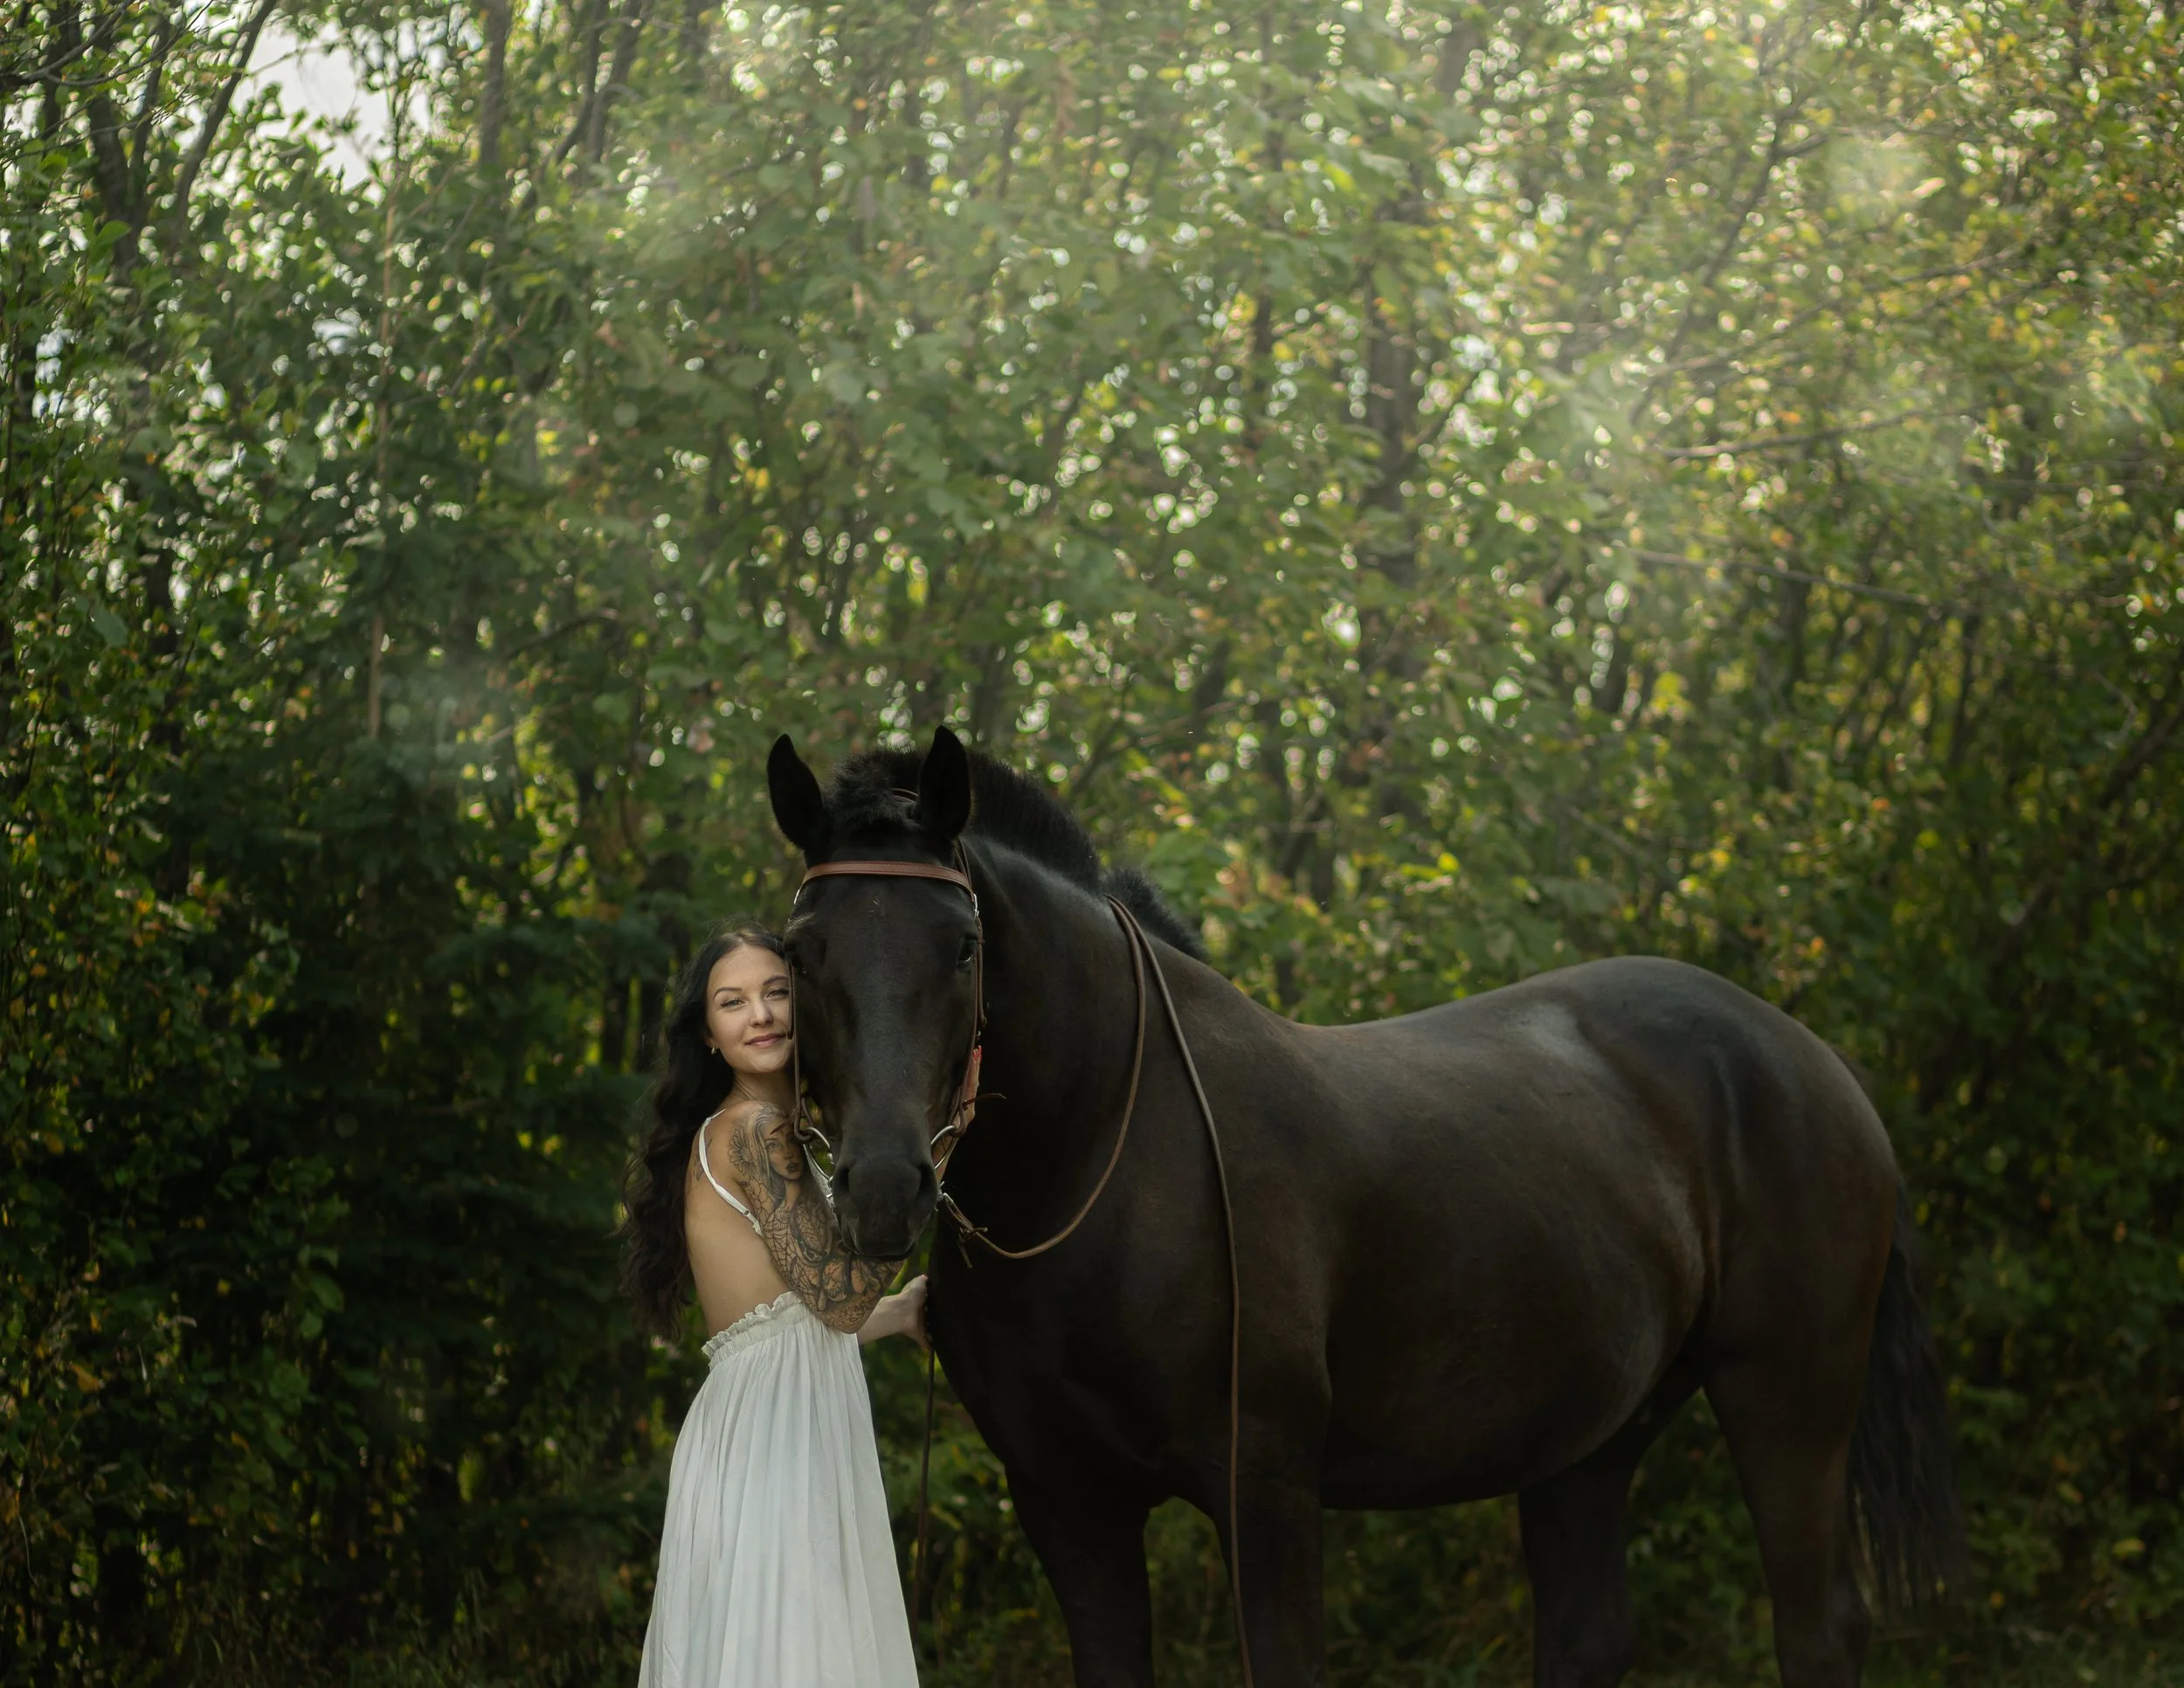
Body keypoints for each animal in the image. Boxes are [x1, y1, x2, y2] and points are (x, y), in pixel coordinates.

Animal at [766, 725, 1964, 1688]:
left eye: (964, 945)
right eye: (799, 953)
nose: (884, 1186)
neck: (1107, 1159)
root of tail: (1813, 1063)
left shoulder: (1264, 1494)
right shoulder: (1067, 1501)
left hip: (1787, 1394)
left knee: (1820, 1630)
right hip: (1591, 1443)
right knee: (1589, 1637)